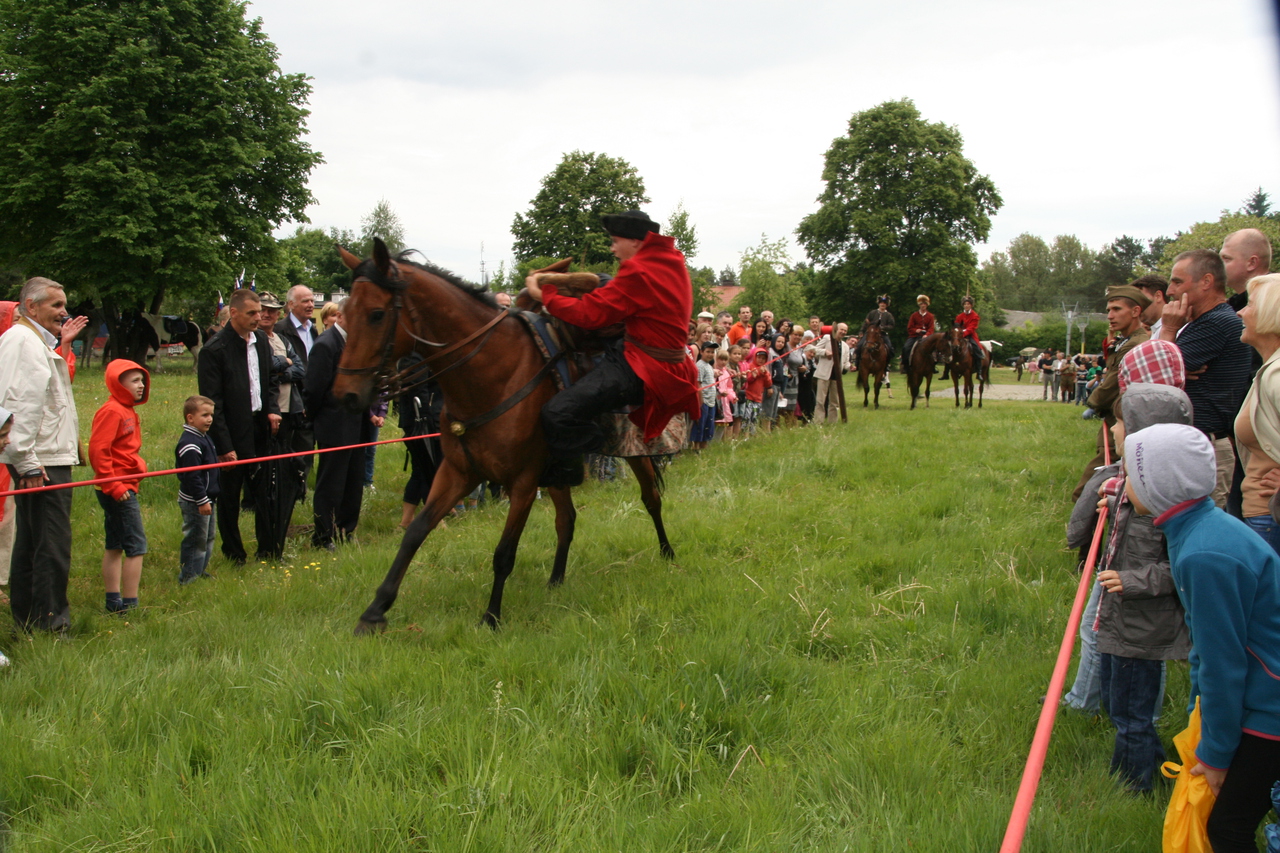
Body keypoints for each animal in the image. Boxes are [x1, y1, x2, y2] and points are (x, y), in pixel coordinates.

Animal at [335, 239, 675, 630]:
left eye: (376, 314)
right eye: (345, 313)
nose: (345, 395)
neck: (490, 374)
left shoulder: (523, 483)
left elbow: (504, 553)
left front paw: (491, 616)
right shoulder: (457, 472)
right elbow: (415, 532)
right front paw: (375, 610)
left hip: (635, 451)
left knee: (651, 498)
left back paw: (667, 553)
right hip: (556, 474)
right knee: (567, 519)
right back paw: (556, 580)